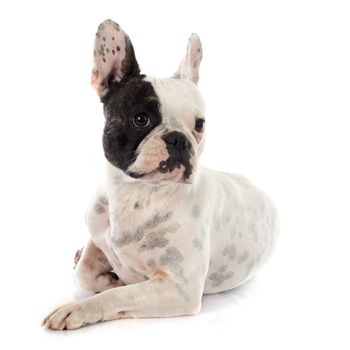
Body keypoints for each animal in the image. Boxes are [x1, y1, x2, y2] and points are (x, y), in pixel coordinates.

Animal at [42, 19, 278, 330]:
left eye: (199, 124)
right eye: (140, 119)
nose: (179, 139)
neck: (136, 194)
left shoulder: (180, 288)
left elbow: (119, 295)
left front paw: (84, 304)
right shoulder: (96, 233)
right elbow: (84, 272)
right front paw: (109, 275)